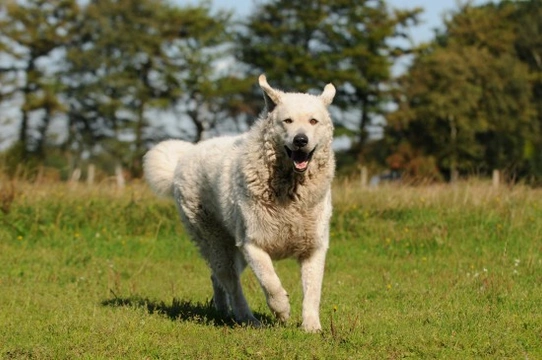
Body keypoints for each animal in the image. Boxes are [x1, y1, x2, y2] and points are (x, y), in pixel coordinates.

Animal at [142, 75, 336, 332]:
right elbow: (270, 283)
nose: (300, 140)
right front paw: (282, 311)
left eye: (314, 121)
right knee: (231, 284)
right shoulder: (251, 244)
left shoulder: (313, 248)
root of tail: (184, 157)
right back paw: (247, 319)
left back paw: (222, 311)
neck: (289, 190)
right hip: (218, 242)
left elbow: (313, 291)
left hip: (234, 251)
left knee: (217, 278)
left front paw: (312, 327)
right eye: (288, 121)